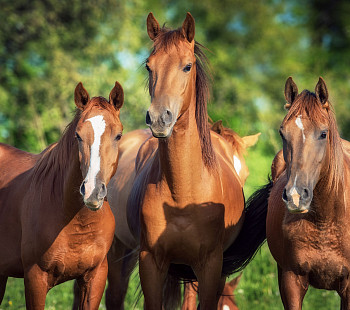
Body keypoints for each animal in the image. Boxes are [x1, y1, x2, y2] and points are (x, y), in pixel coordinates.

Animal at [105, 12, 266, 310]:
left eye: (187, 66)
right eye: (149, 66)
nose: (159, 118)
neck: (182, 193)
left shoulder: (209, 265)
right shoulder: (150, 261)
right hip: (119, 249)